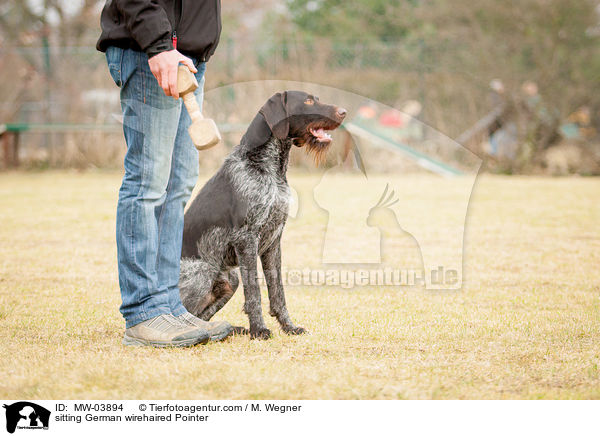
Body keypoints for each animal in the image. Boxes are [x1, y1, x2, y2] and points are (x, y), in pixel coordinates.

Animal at [179, 90, 346, 338]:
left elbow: (277, 291)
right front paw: (259, 329)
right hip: (204, 272)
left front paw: (288, 326)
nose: (344, 111)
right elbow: (254, 292)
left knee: (202, 316)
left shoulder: (273, 242)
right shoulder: (246, 239)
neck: (268, 167)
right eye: (307, 101)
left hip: (230, 279)